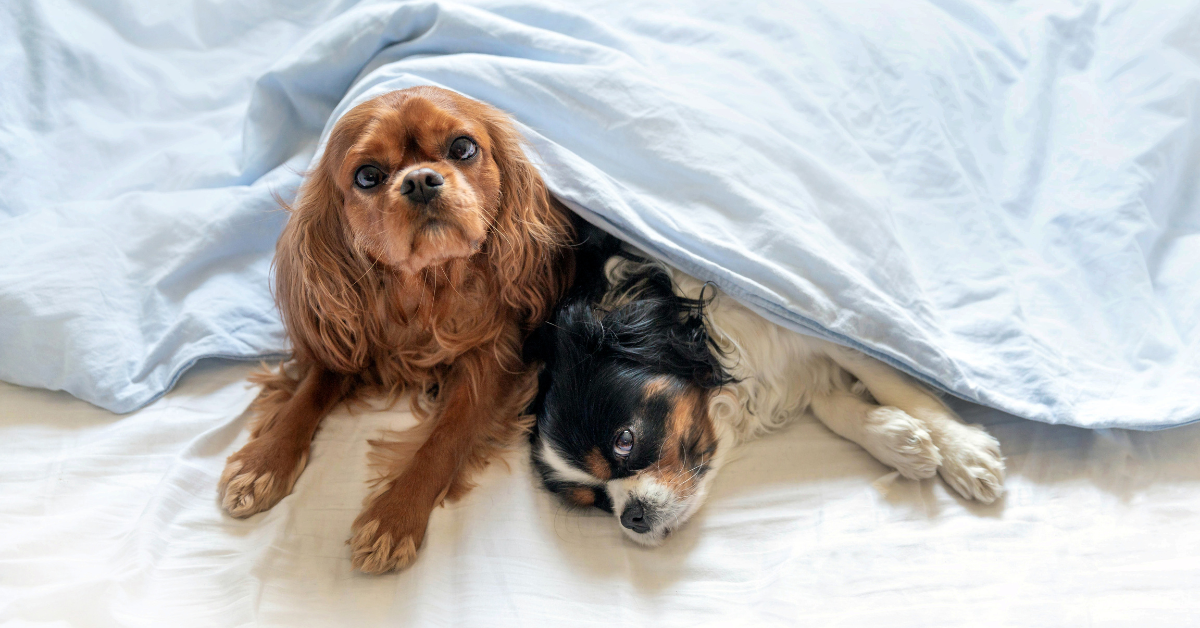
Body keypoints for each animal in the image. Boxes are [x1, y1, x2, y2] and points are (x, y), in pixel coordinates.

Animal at [220, 87, 576, 573]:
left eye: (463, 147)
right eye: (368, 176)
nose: (421, 179)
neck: (426, 289)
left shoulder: (495, 358)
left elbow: (445, 439)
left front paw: (394, 518)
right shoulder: (348, 335)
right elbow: (307, 394)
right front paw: (263, 463)